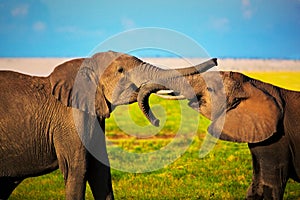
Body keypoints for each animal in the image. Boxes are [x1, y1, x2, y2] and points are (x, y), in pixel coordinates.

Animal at [141, 70, 300, 198]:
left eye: (210, 89)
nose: (157, 121)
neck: (256, 85)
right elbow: (256, 187)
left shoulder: (279, 137)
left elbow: (270, 185)